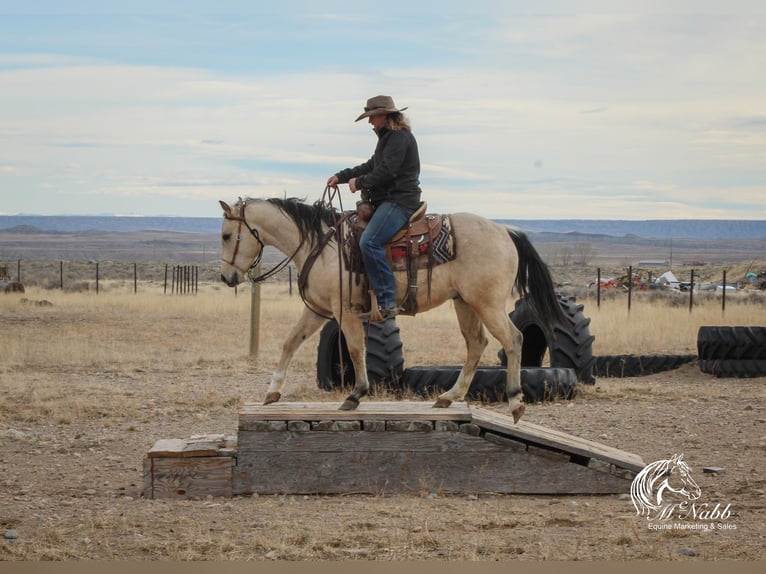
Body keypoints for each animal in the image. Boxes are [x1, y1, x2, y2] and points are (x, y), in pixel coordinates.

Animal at [219, 196, 568, 426]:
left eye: (225, 235)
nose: (226, 277)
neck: (321, 246)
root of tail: (505, 231)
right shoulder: (319, 310)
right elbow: (290, 342)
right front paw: (272, 392)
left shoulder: (343, 311)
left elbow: (355, 348)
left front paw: (356, 394)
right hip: (465, 302)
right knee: (476, 344)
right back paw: (448, 397)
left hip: (488, 304)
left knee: (513, 339)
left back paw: (515, 401)